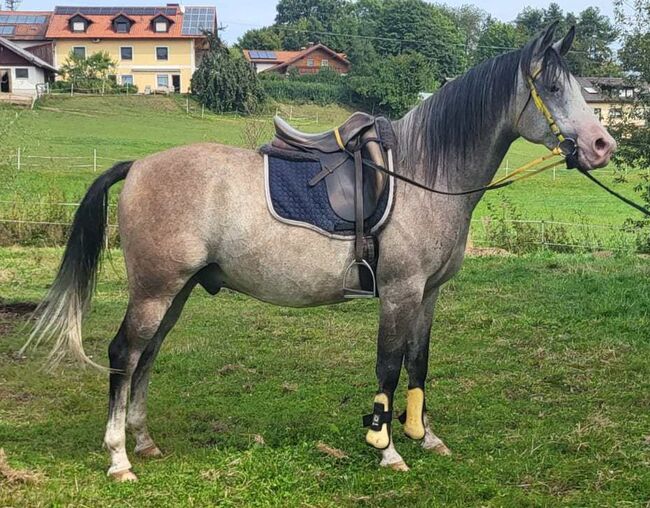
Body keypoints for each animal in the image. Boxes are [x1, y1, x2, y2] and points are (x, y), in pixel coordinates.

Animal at [26, 25, 612, 480]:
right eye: (553, 86)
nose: (602, 146)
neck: (425, 174)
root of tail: (139, 166)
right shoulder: (399, 293)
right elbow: (389, 367)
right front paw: (386, 448)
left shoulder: (428, 295)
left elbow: (419, 362)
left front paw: (424, 436)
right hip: (155, 289)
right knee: (124, 354)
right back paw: (119, 458)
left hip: (178, 291)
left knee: (147, 356)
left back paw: (143, 442)